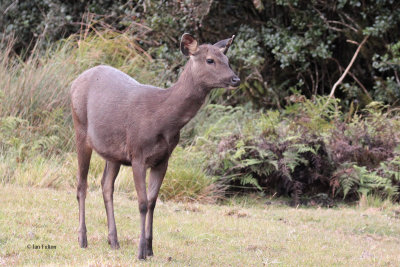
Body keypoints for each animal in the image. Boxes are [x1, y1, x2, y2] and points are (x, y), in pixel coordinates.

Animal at [70, 33, 241, 260]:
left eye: (227, 59)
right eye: (210, 60)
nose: (235, 79)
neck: (163, 119)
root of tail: (74, 82)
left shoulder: (163, 159)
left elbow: (152, 202)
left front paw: (150, 249)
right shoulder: (138, 154)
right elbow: (142, 203)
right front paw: (140, 251)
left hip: (113, 151)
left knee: (106, 186)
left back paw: (113, 241)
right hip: (80, 129)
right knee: (82, 185)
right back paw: (82, 239)